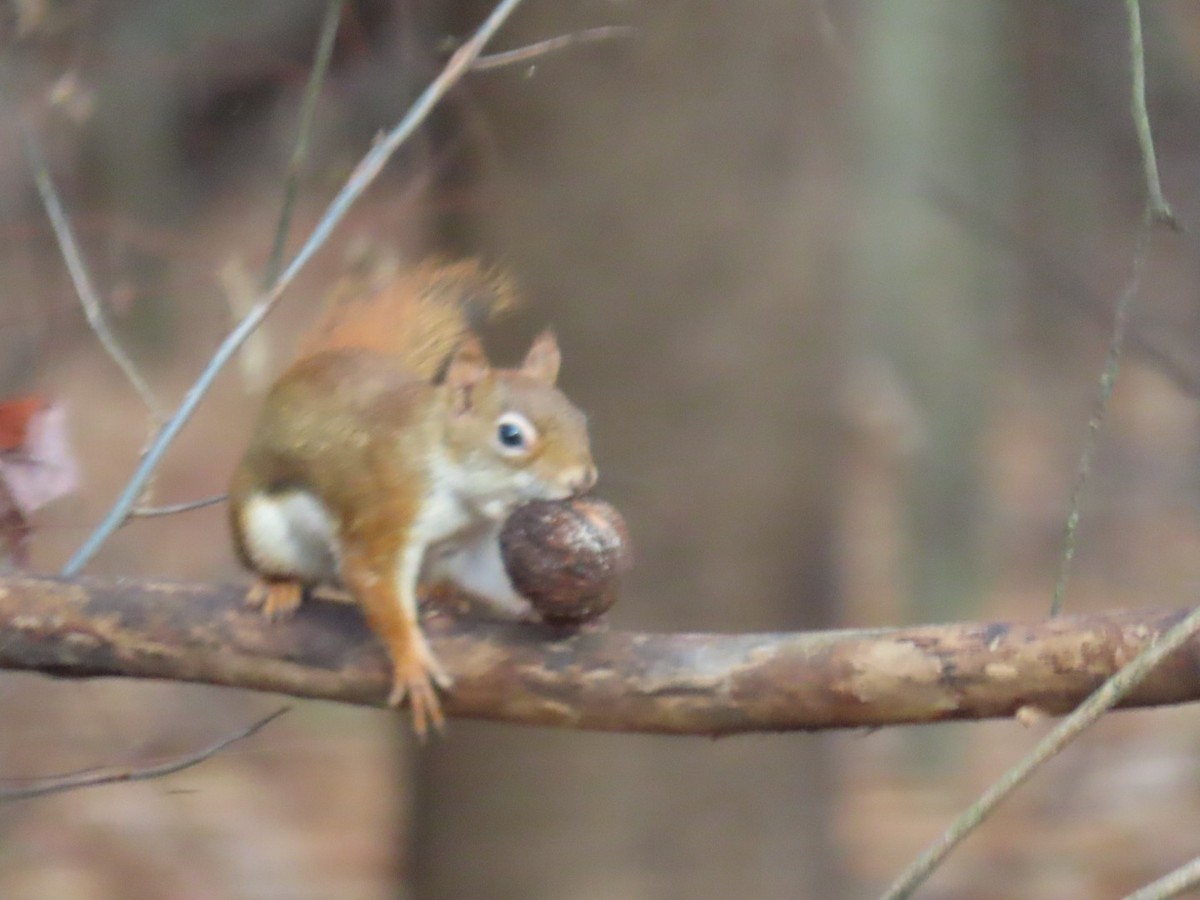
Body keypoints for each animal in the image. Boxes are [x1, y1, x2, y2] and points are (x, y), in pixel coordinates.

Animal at [229, 258, 597, 737]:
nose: (583, 480)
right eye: (511, 435)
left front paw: (551, 610)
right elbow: (377, 585)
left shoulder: (478, 539)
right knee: (278, 564)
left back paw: (440, 593)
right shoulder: (385, 511)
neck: (461, 491)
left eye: (579, 417)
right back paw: (279, 586)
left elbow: (491, 575)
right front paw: (413, 664)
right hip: (262, 528)